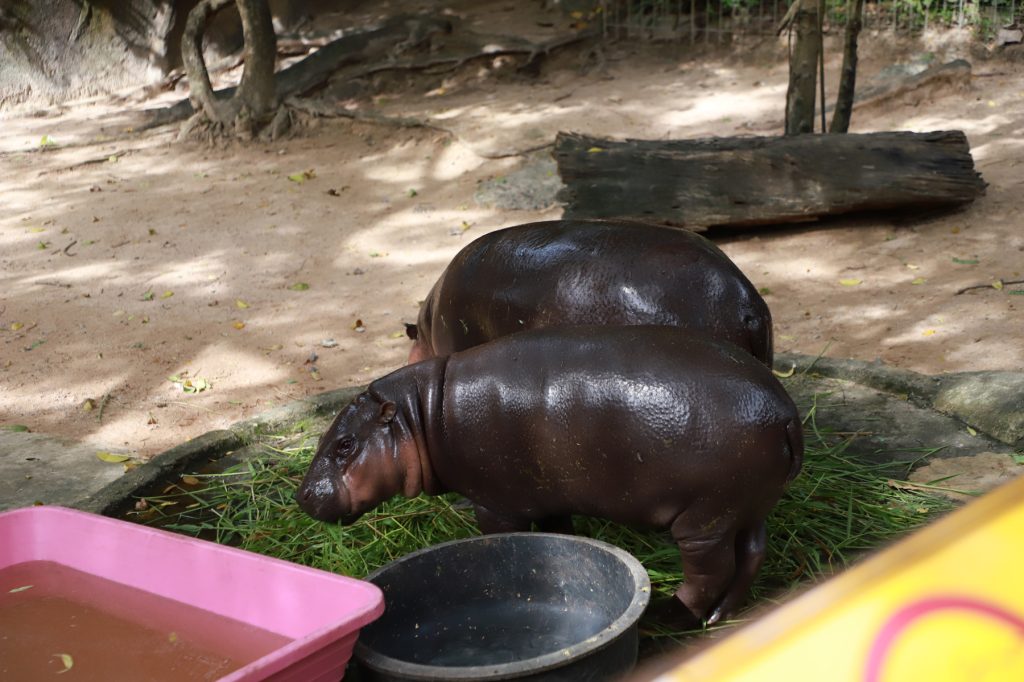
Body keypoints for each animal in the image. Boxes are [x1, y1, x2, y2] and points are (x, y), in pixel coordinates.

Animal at [299, 325, 803, 624]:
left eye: (345, 445)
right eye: (328, 437)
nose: (302, 495)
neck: (420, 415)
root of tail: (783, 409)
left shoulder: (496, 503)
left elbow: (501, 539)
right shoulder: (548, 492)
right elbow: (559, 532)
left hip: (704, 517)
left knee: (710, 571)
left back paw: (670, 615)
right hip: (743, 505)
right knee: (752, 553)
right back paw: (719, 617)